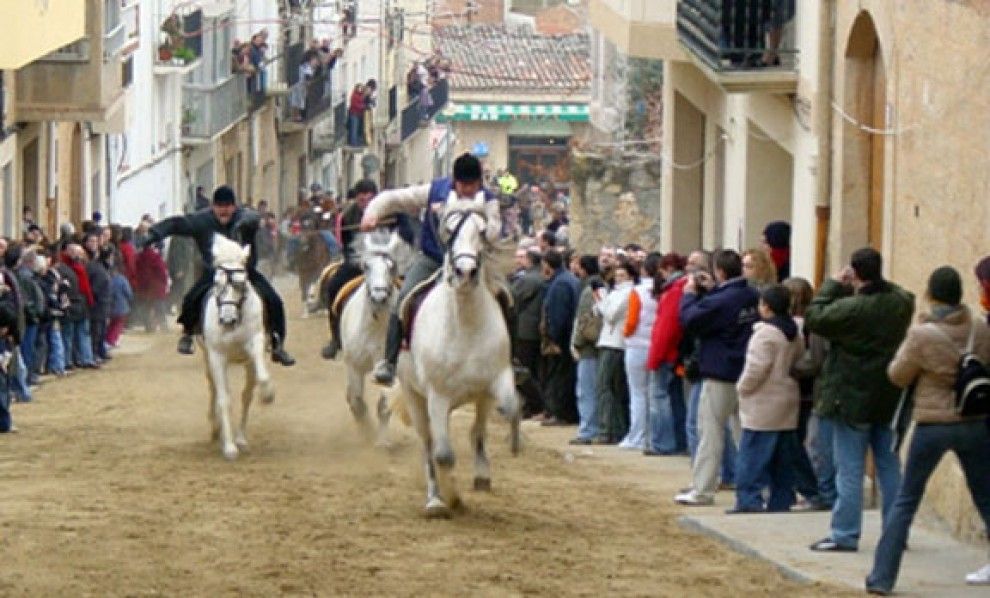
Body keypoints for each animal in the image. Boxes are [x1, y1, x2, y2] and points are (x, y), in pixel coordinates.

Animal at [199, 234, 274, 460]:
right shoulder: (216, 356)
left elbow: (256, 384)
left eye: (241, 283)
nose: (227, 320)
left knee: (246, 394)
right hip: (207, 359)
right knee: (213, 389)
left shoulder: (255, 344)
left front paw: (267, 394)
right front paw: (229, 447)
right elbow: (224, 399)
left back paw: (239, 437)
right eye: (217, 282)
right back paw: (216, 428)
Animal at [340, 230, 404, 446]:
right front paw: (365, 430)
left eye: (391, 266)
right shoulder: (354, 365)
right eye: (366, 266)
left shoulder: (387, 366)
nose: (379, 297)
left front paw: (382, 441)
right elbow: (357, 400)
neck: (374, 326)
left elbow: (383, 406)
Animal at [394, 195, 524, 516]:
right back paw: (435, 499)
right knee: (429, 444)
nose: (465, 273)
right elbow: (443, 455)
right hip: (416, 397)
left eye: (482, 231)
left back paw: (481, 475)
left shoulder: (496, 380)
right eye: (450, 230)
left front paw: (513, 444)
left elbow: (510, 407)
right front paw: (450, 498)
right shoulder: (437, 396)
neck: (465, 323)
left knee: (477, 431)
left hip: (478, 398)